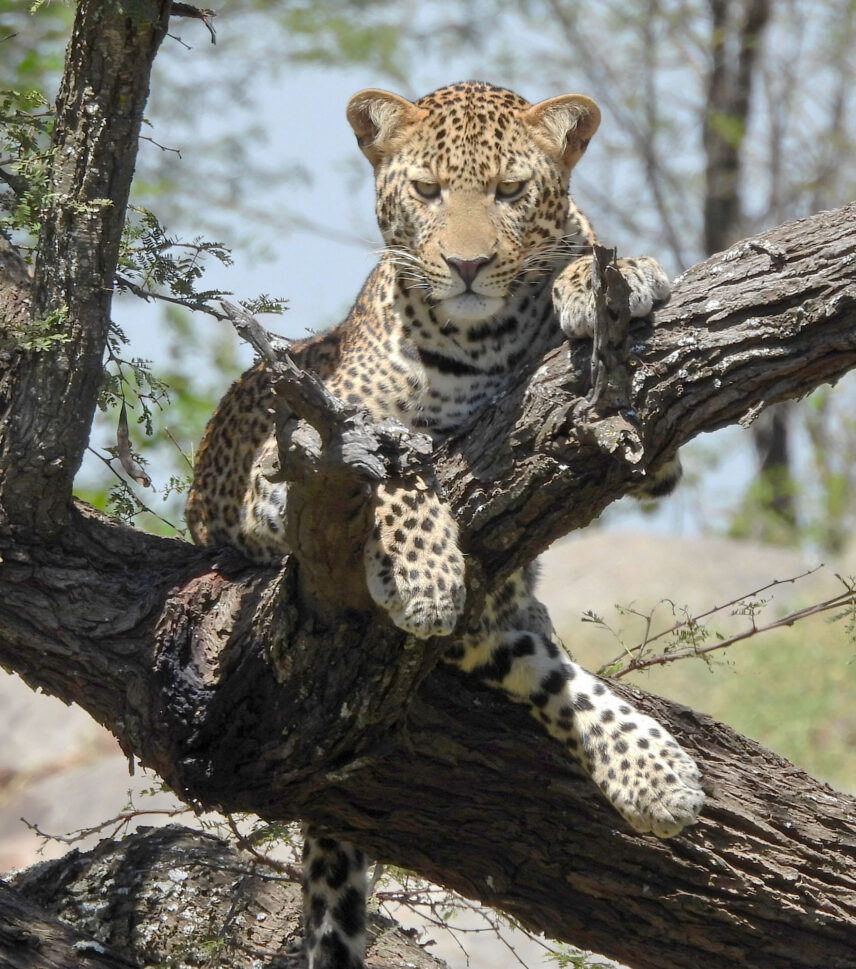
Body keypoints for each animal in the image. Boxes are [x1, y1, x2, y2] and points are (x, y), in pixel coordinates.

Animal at [186, 81, 704, 969]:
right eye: (426, 191)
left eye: (509, 191)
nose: (466, 266)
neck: (481, 339)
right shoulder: (284, 466)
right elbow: (387, 457)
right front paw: (424, 571)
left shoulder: (650, 461)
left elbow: (583, 260)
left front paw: (614, 275)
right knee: (519, 653)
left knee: (545, 666)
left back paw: (655, 772)